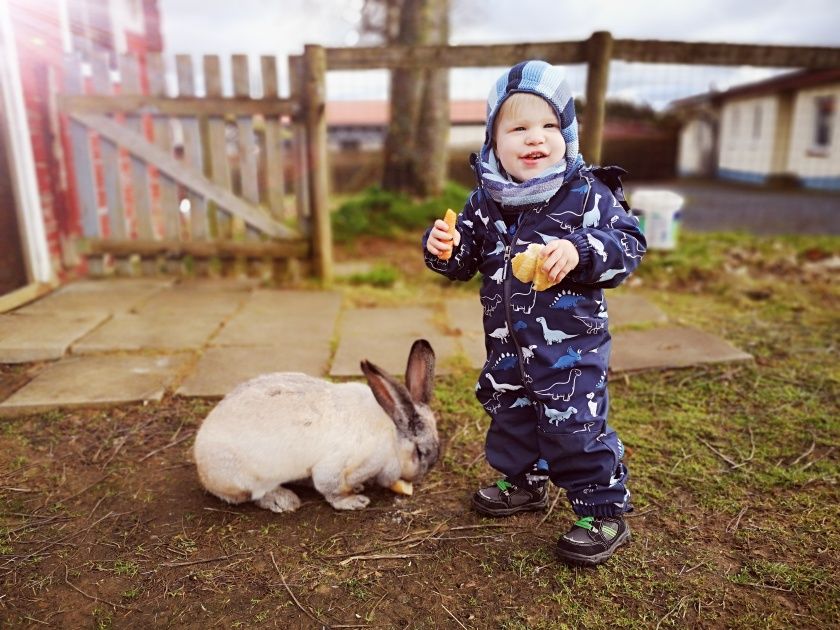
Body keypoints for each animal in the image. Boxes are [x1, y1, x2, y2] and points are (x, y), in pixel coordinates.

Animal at [192, 340, 440, 512]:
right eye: (420, 452)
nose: (419, 476)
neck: (392, 434)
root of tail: (203, 470)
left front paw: (358, 489)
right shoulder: (335, 468)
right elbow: (332, 489)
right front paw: (354, 501)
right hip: (250, 476)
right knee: (252, 495)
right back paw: (284, 500)